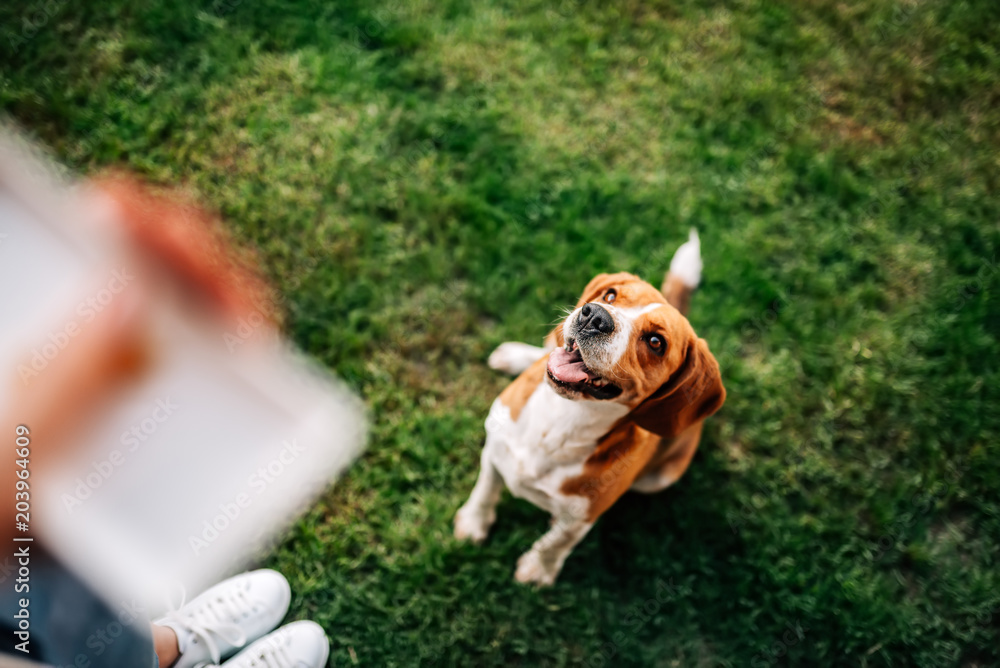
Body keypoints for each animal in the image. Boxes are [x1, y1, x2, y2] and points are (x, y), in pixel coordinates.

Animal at [456, 230, 728, 584]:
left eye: (656, 343)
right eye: (611, 295)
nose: (595, 316)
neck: (562, 419)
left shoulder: (584, 515)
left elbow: (557, 541)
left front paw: (538, 570)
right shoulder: (494, 447)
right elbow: (485, 490)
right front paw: (473, 523)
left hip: (660, 478)